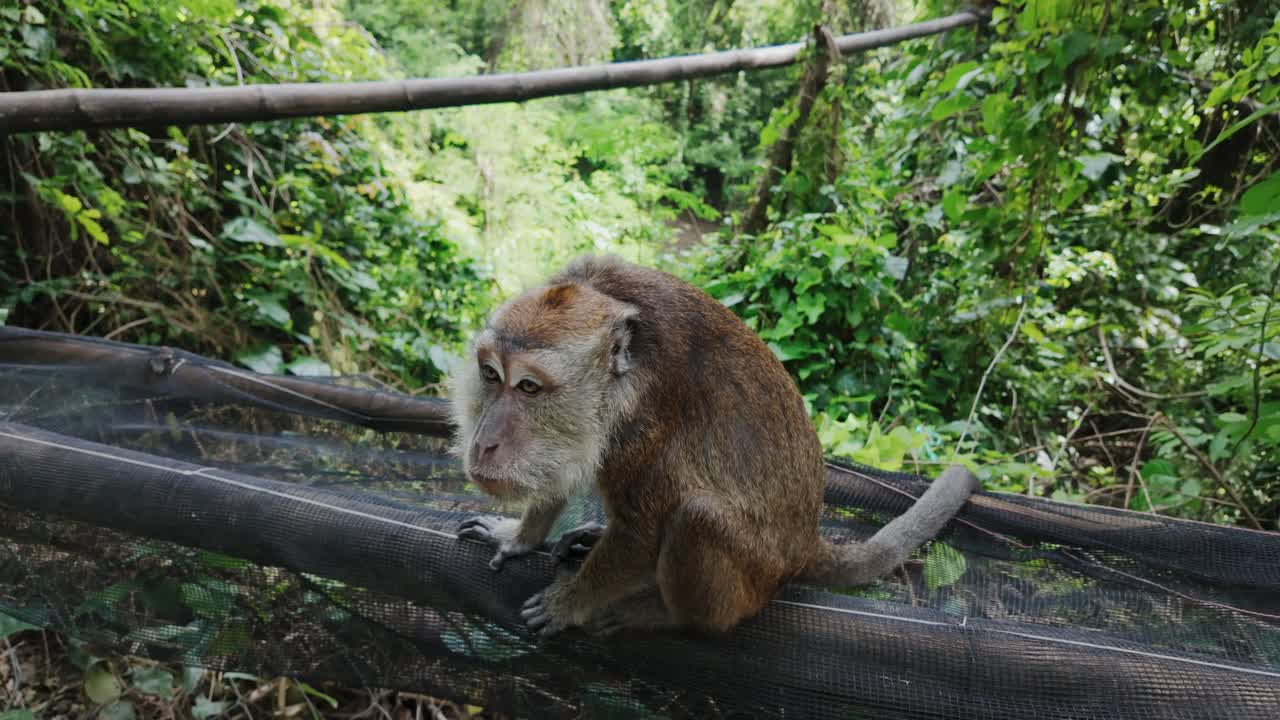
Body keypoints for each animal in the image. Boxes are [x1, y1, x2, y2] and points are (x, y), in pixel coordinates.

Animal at [450, 255, 978, 638]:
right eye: (491, 375)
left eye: (529, 387)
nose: (485, 443)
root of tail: (804, 546)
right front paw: (520, 536)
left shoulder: (645, 424)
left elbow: (644, 532)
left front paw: (572, 601)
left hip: (752, 582)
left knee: (696, 517)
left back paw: (665, 615)